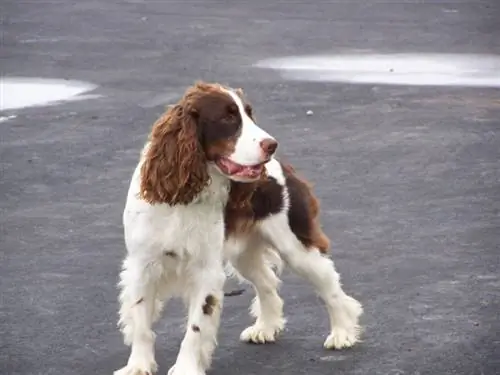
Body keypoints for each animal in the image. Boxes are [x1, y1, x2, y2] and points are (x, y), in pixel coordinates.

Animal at [115, 82, 362, 375]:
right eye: (228, 118)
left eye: (249, 114)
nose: (271, 145)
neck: (184, 198)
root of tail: (285, 167)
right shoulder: (142, 265)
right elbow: (141, 322)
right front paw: (138, 366)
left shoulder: (205, 271)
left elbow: (195, 328)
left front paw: (186, 368)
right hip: (244, 254)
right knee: (267, 281)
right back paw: (265, 327)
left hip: (295, 247)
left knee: (329, 283)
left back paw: (342, 332)